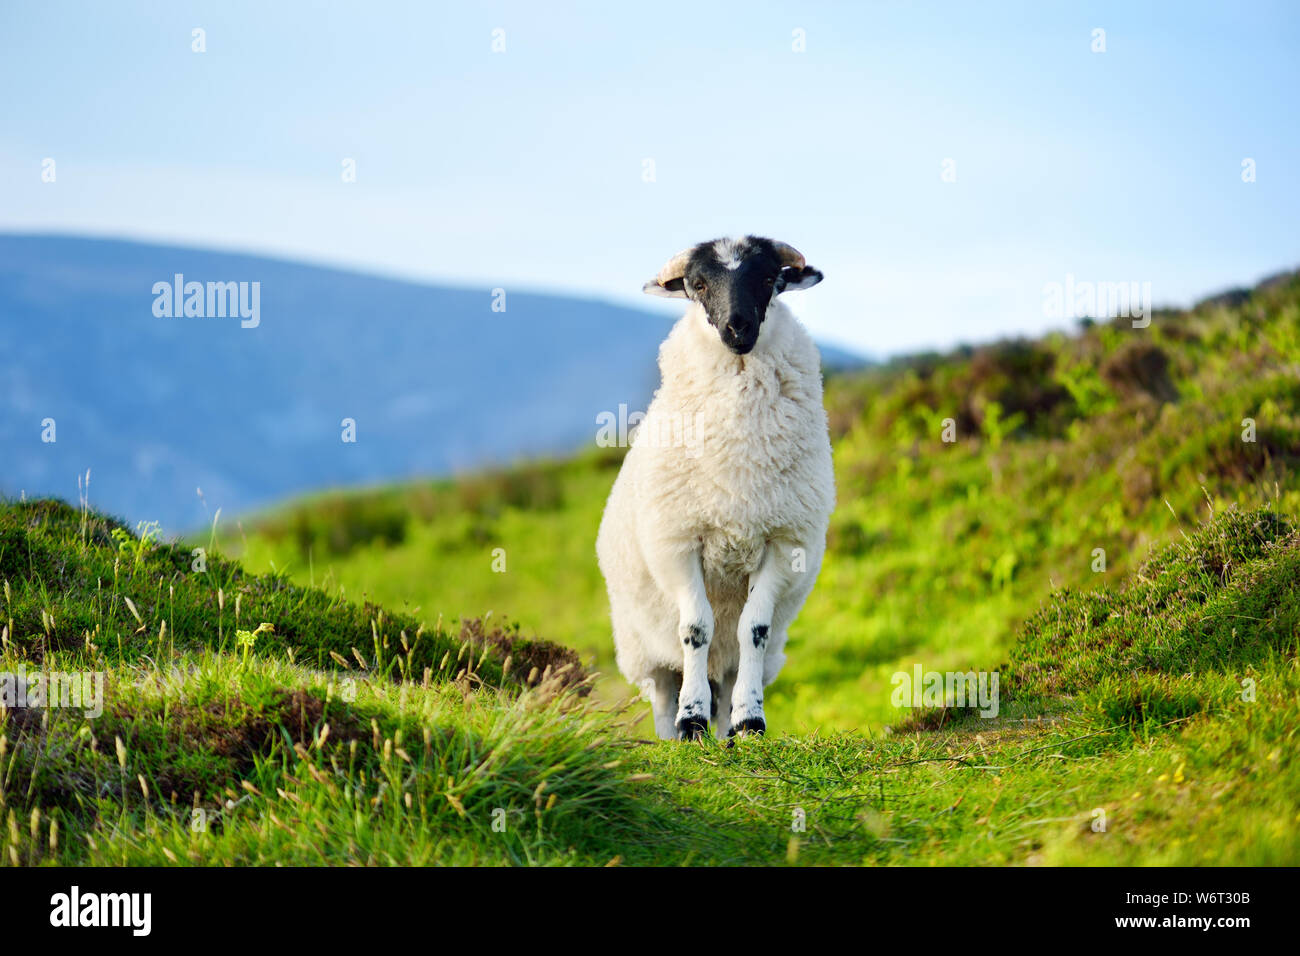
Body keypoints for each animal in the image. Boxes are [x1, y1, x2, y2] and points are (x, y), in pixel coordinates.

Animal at [595, 236, 835, 740]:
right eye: (698, 284)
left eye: (768, 277)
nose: (737, 325)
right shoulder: (679, 542)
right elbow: (695, 629)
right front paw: (691, 720)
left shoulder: (781, 543)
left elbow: (755, 630)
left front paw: (750, 721)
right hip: (641, 645)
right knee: (664, 684)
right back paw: (672, 733)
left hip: (731, 660)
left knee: (728, 668)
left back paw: (726, 726)